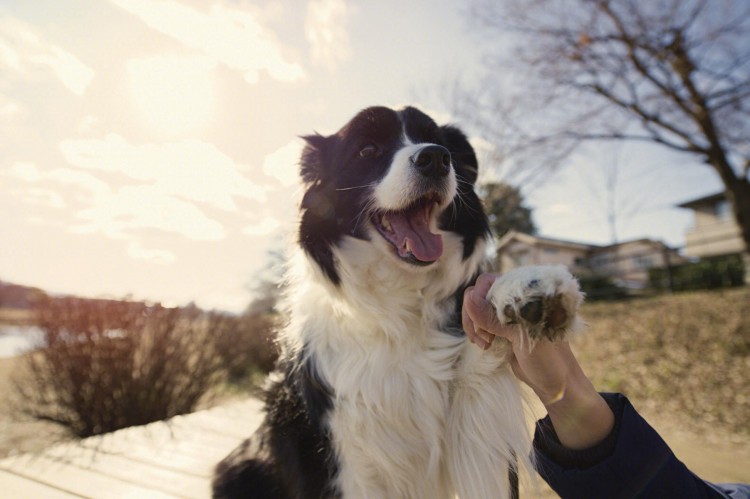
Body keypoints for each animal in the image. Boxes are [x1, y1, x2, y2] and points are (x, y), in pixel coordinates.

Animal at [214, 106, 584, 499]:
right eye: (367, 149)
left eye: (436, 140)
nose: (435, 158)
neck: (402, 302)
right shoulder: (344, 456)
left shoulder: (476, 419)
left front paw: (527, 289)